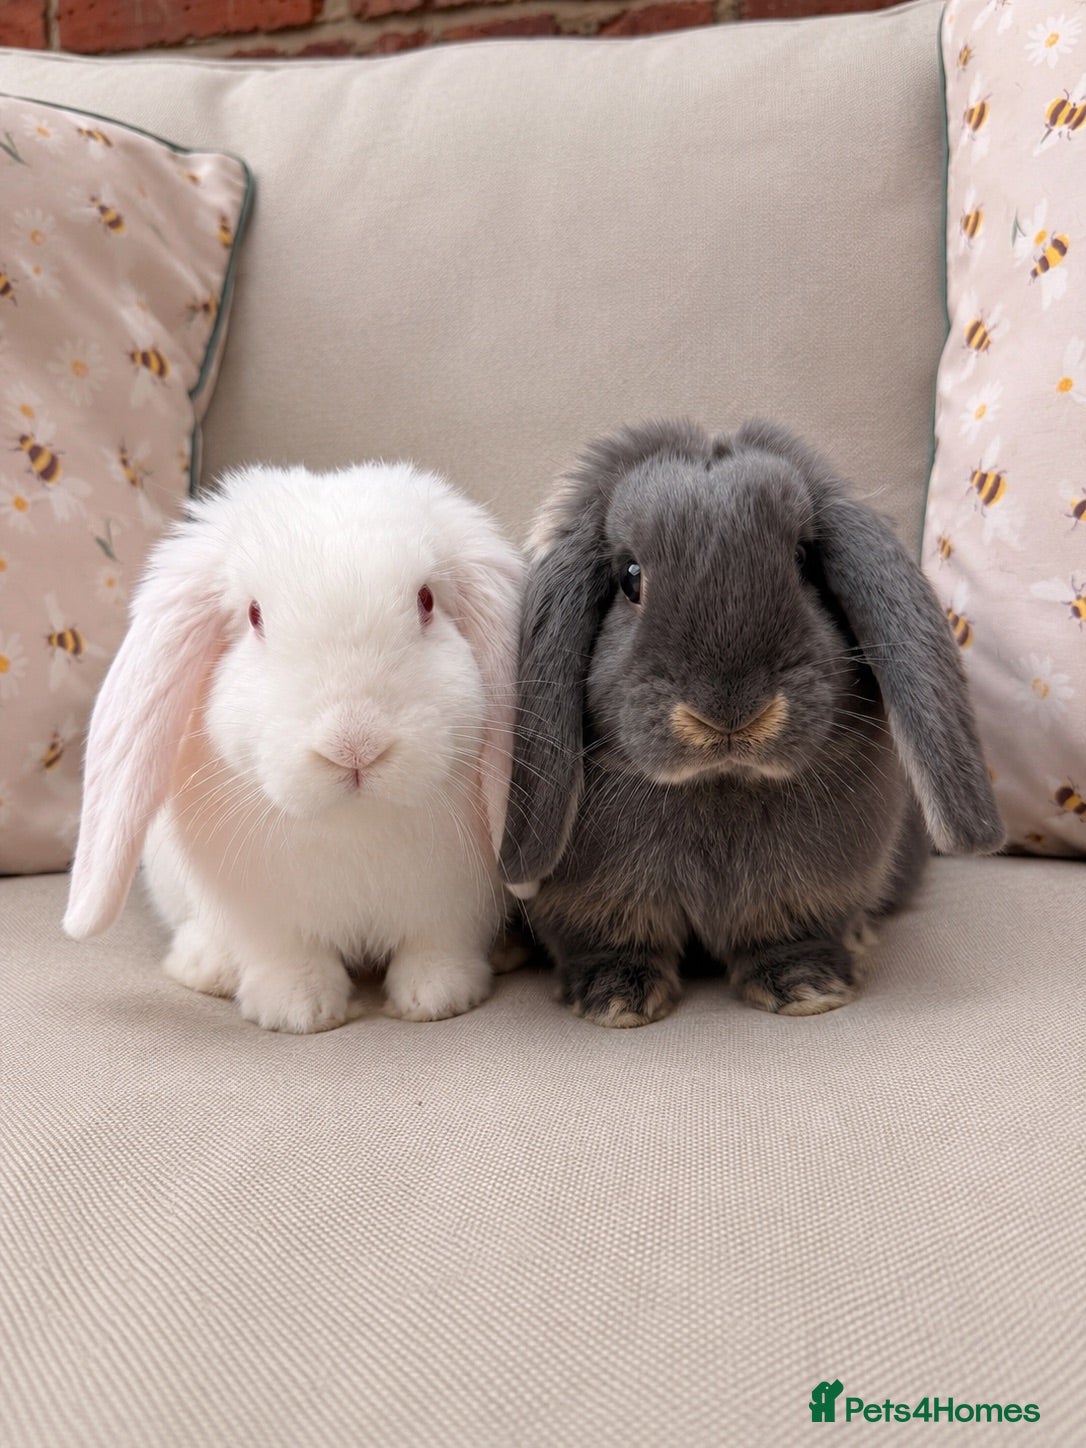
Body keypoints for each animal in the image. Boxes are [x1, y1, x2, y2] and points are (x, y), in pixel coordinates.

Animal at [64, 461, 525, 1034]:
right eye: (255, 615)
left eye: (426, 601)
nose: (355, 745)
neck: (354, 824)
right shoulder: (264, 916)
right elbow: (288, 958)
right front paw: (298, 1012)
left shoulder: (454, 906)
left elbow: (437, 949)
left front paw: (437, 1000)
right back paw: (206, 966)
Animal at [500, 419, 1004, 1027]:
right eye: (630, 577)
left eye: (804, 561)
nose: (730, 712)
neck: (720, 785)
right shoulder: (595, 900)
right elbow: (609, 941)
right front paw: (615, 998)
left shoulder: (808, 891)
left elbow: (787, 938)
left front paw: (808, 988)